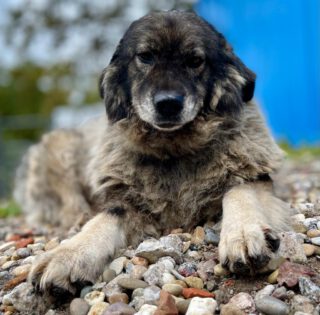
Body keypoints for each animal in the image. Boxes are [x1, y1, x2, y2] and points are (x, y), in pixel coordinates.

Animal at [14, 9, 290, 296]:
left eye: (195, 61)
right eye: (145, 57)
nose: (168, 104)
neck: (174, 151)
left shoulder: (253, 175)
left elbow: (238, 191)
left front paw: (243, 233)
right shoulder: (126, 200)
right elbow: (105, 217)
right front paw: (69, 254)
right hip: (60, 149)